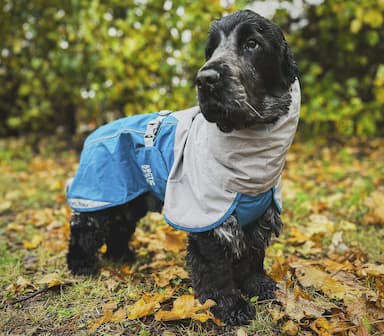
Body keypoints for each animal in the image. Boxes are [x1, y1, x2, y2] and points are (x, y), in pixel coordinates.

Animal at [66, 9, 300, 326]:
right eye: (211, 49)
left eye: (252, 43)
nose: (205, 79)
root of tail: (94, 132)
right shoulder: (207, 218)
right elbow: (216, 270)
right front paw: (230, 306)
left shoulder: (258, 215)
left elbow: (253, 256)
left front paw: (259, 286)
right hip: (101, 194)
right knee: (84, 228)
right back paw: (80, 265)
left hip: (130, 199)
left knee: (119, 227)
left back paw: (122, 256)